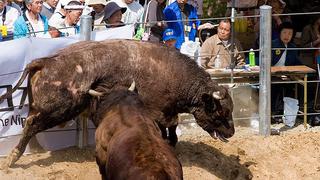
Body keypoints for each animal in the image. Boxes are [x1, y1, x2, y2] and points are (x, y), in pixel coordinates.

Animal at [0, 38, 235, 169]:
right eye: (220, 112)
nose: (231, 132)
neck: (174, 75)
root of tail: (45, 61)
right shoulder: (157, 110)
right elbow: (167, 126)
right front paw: (169, 142)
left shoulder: (167, 111)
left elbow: (172, 126)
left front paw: (172, 140)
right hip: (57, 109)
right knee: (31, 124)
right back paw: (13, 157)